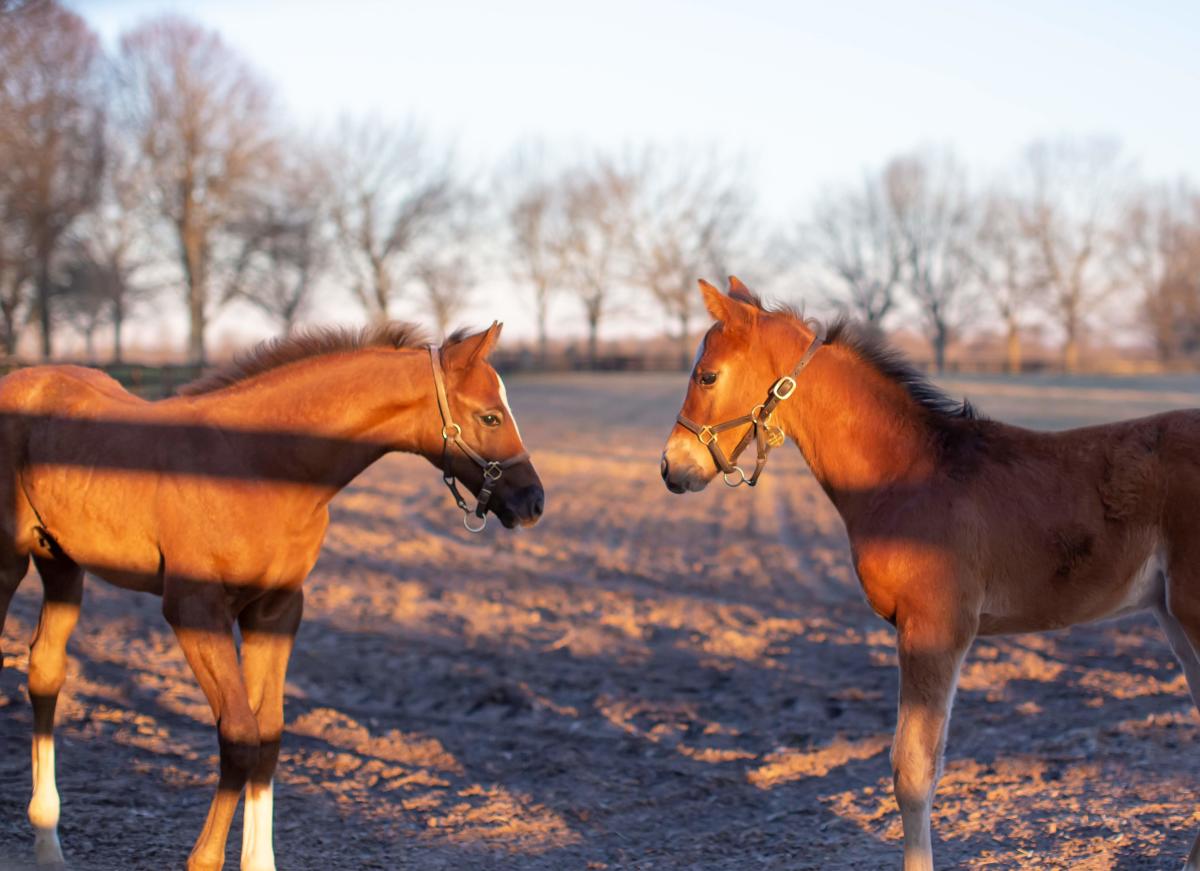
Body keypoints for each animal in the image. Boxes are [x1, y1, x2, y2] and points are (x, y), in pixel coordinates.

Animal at [0, 321, 544, 871]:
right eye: (490, 415)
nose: (533, 502)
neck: (255, 465)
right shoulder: (194, 609)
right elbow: (239, 736)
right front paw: (204, 858)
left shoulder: (276, 610)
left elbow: (269, 735)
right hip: (10, 562)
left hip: (62, 564)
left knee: (45, 670)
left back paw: (48, 842)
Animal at [662, 278, 1200, 871]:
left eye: (707, 376)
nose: (671, 467)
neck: (906, 473)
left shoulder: (934, 628)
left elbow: (913, 770)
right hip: (1172, 616)